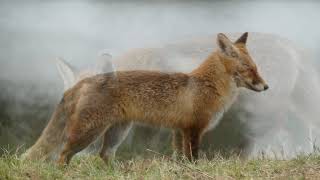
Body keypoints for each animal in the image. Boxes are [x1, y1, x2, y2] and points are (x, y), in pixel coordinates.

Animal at [23, 32, 268, 163]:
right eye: (249, 68)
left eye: (256, 68)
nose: (266, 86)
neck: (206, 85)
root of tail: (87, 80)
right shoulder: (193, 129)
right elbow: (193, 158)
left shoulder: (179, 130)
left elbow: (180, 159)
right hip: (89, 133)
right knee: (63, 154)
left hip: (117, 133)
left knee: (103, 155)